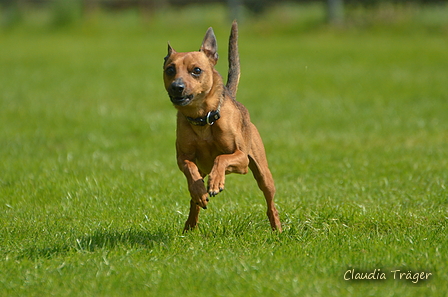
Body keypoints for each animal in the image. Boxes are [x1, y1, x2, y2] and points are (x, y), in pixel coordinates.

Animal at [162, 22, 280, 231]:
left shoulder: (241, 160)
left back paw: (277, 228)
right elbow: (190, 170)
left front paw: (216, 182)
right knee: (195, 200)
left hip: (263, 173)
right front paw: (199, 190)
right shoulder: (183, 157)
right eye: (170, 70)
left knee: (270, 203)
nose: (177, 86)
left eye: (196, 70)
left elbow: (222, 158)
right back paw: (191, 221)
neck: (202, 118)